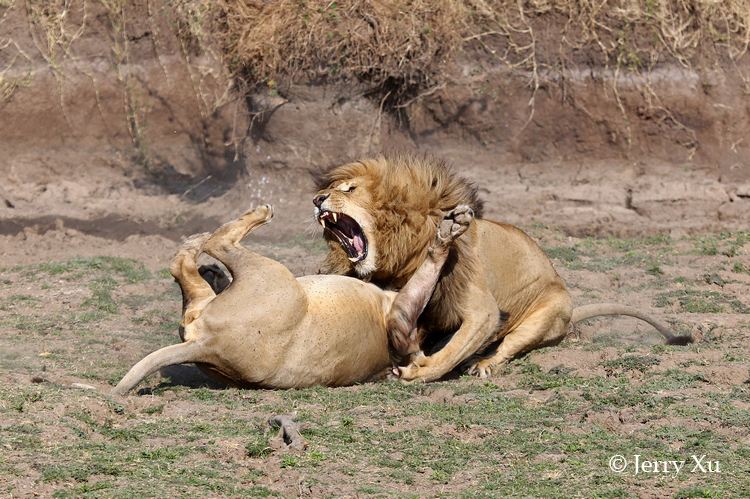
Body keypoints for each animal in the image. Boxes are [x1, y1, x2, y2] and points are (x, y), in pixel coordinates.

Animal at [112, 203, 472, 394]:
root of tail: (208, 346)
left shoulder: (399, 317)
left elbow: (428, 267)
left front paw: (447, 234)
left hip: (272, 274)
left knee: (213, 245)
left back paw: (242, 221)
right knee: (193, 261)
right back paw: (204, 252)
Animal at [312, 154, 692, 380]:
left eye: (349, 189)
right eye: (329, 189)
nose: (317, 199)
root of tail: (572, 311)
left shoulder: (482, 311)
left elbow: (452, 351)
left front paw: (423, 371)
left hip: (545, 313)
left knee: (506, 346)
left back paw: (481, 364)